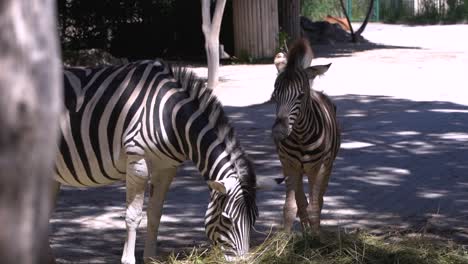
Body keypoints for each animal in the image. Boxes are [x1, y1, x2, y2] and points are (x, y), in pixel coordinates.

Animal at [53, 59, 258, 264]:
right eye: (227, 219)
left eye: (254, 219)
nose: (243, 261)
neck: (171, 117)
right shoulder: (137, 162)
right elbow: (133, 215)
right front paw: (128, 260)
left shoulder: (166, 168)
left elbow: (155, 213)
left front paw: (151, 258)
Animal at [270, 38, 340, 233]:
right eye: (274, 95)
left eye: (300, 96)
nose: (278, 132)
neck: (301, 136)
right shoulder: (288, 165)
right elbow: (290, 207)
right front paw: (285, 239)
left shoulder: (321, 167)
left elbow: (315, 207)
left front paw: (316, 237)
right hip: (299, 170)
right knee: (301, 201)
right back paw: (305, 230)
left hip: (324, 168)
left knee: (318, 200)